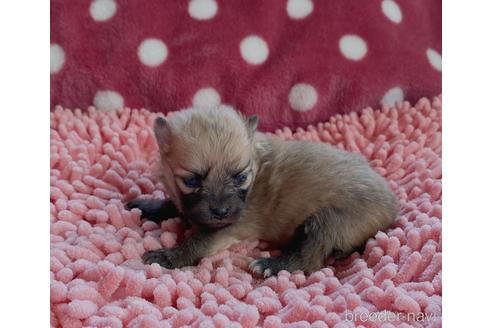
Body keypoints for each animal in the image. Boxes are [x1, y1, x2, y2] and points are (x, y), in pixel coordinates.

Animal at [125, 105, 398, 276]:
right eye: (192, 181)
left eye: (240, 177)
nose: (221, 212)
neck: (256, 168)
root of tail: (392, 205)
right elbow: (172, 204)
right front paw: (148, 205)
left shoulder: (228, 227)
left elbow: (197, 241)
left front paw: (170, 256)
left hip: (329, 220)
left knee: (310, 257)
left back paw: (272, 265)